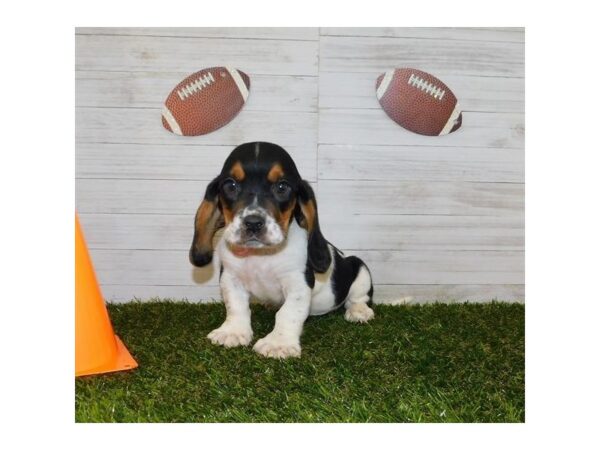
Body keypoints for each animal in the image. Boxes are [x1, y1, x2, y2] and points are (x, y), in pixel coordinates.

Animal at [190, 142, 372, 358]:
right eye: (230, 185)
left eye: (282, 187)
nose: (253, 223)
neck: (261, 255)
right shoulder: (230, 278)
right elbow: (236, 306)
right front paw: (233, 332)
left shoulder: (298, 283)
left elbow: (287, 313)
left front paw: (278, 343)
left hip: (359, 268)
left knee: (358, 297)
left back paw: (359, 311)